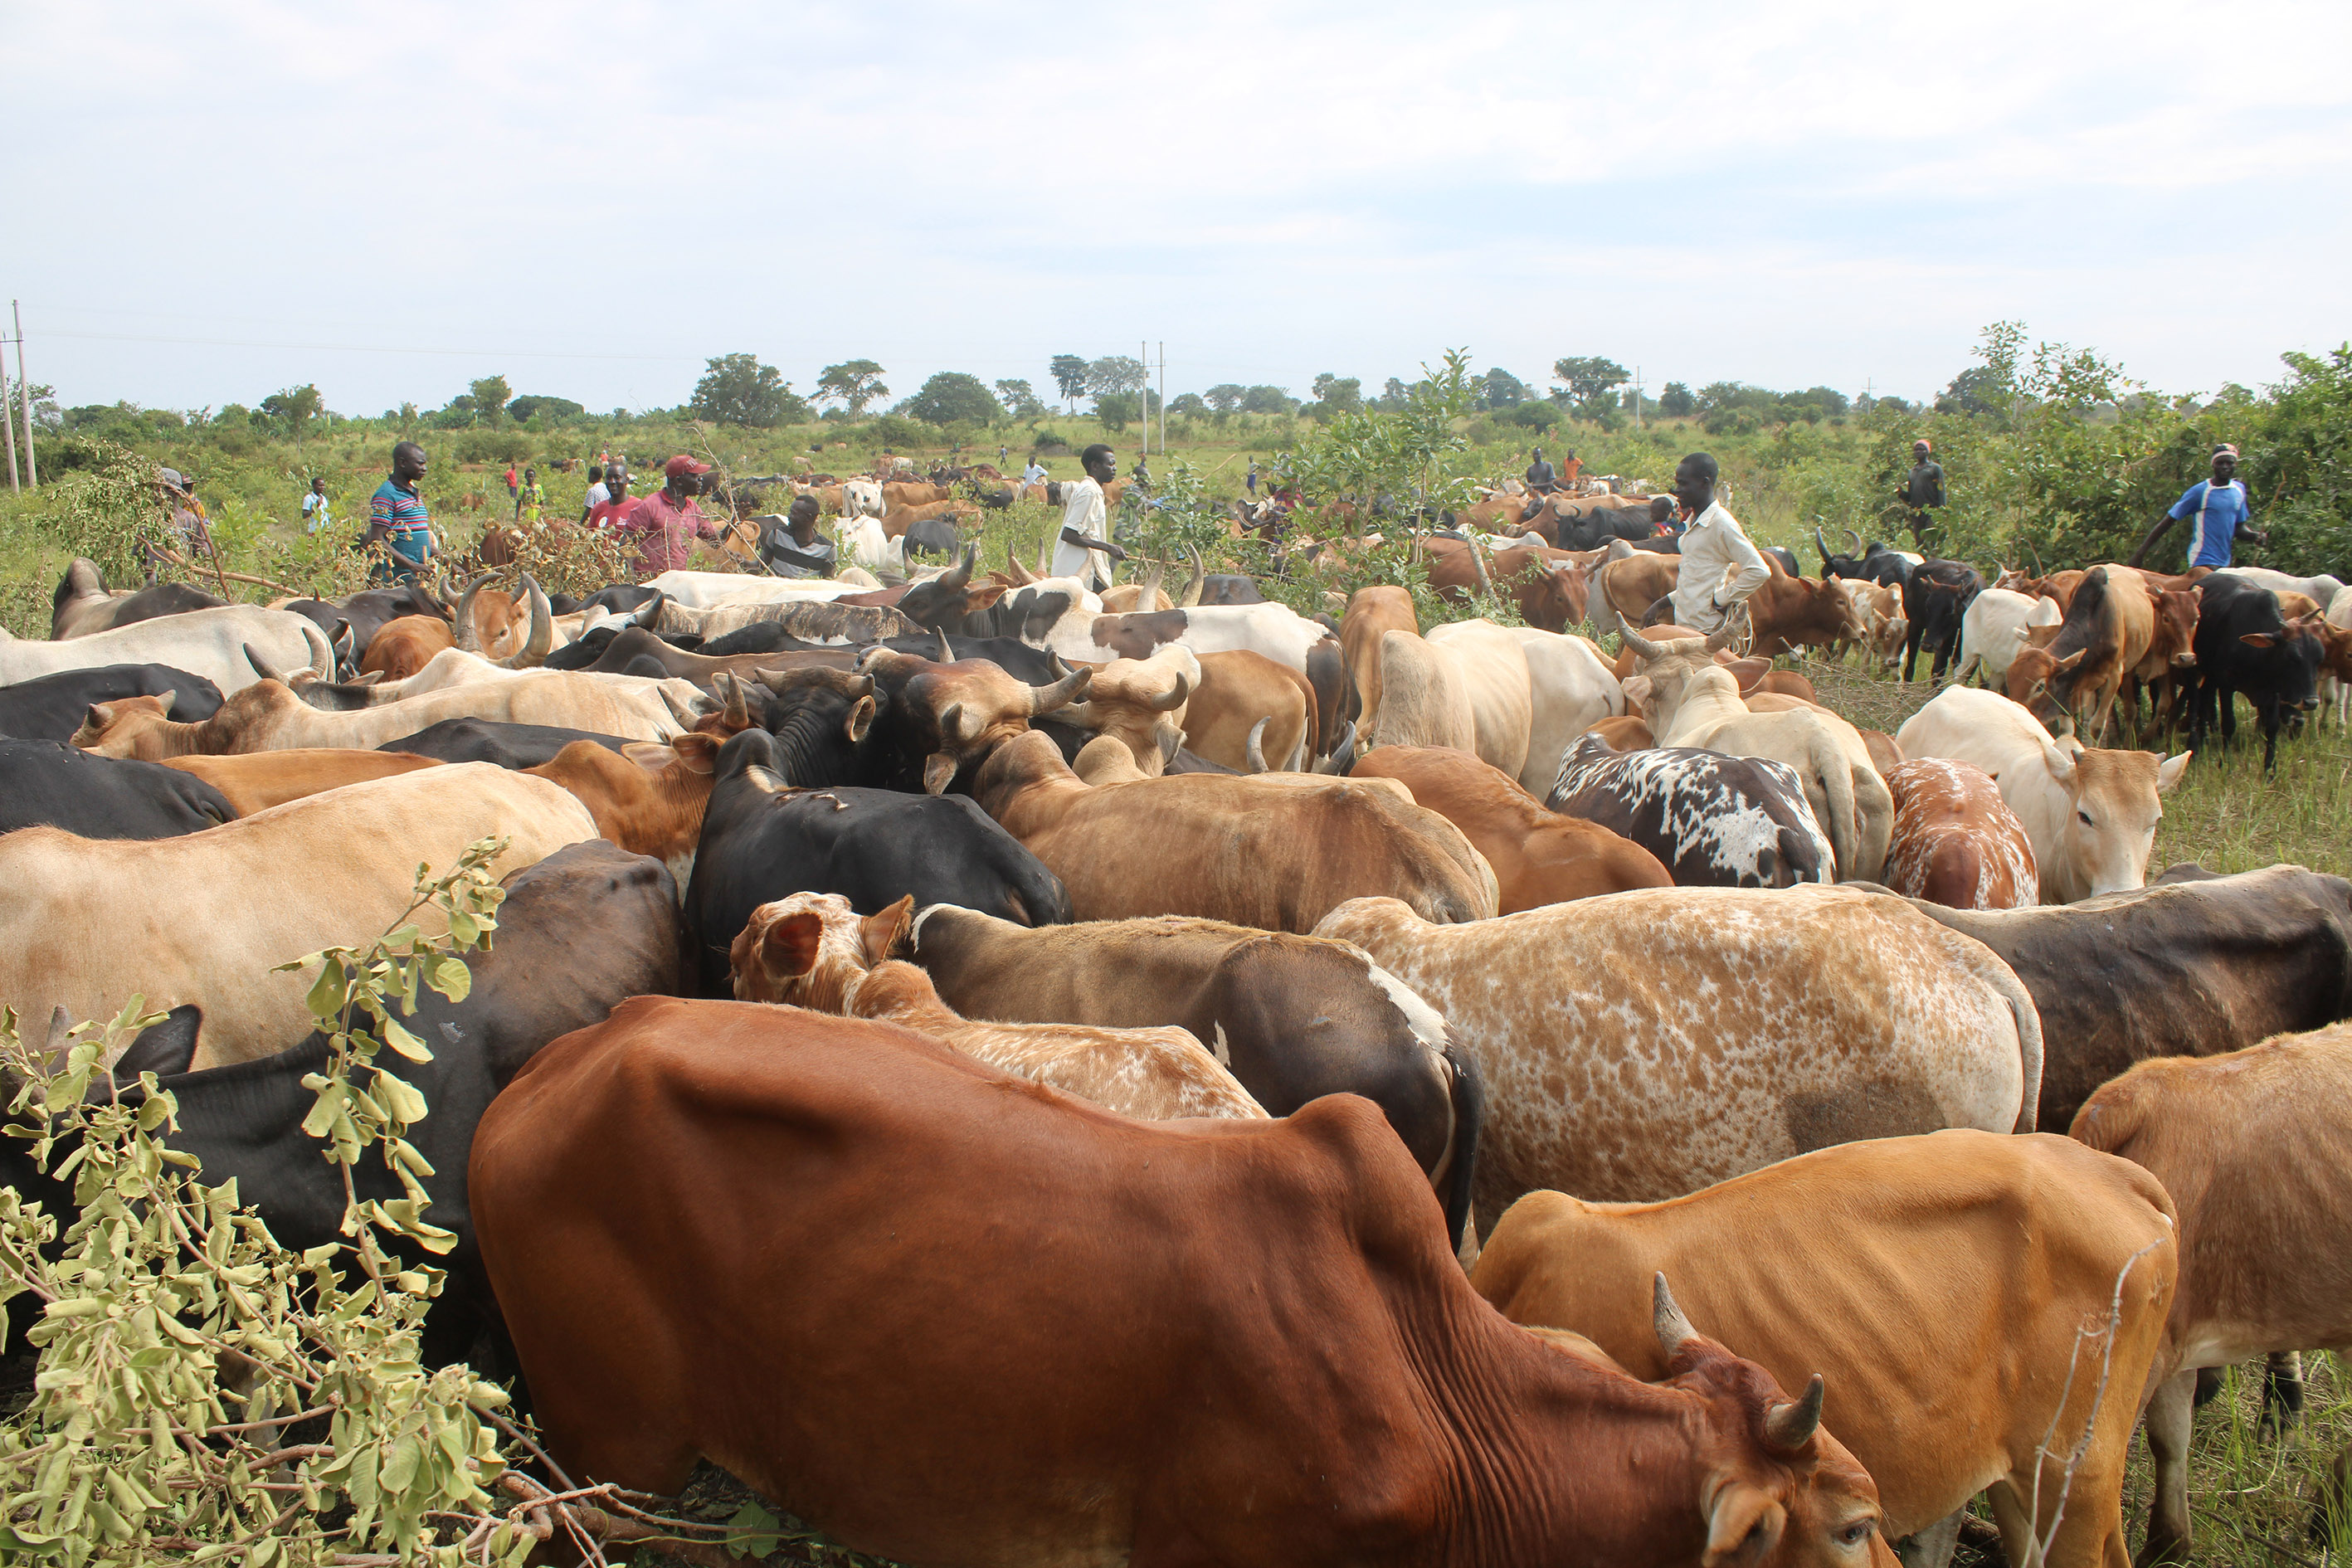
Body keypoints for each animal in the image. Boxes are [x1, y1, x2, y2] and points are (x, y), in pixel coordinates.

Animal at [2184, 572, 2324, 772]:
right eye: (2291, 656)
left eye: (2318, 658)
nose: (2311, 702)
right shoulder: (2226, 685)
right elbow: (2229, 724)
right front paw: (2225, 765)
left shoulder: (2273, 691)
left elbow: (2272, 727)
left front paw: (2270, 770)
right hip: (2194, 667)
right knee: (2195, 700)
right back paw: (2194, 746)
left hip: (2211, 675)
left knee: (2205, 698)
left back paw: (2204, 740)